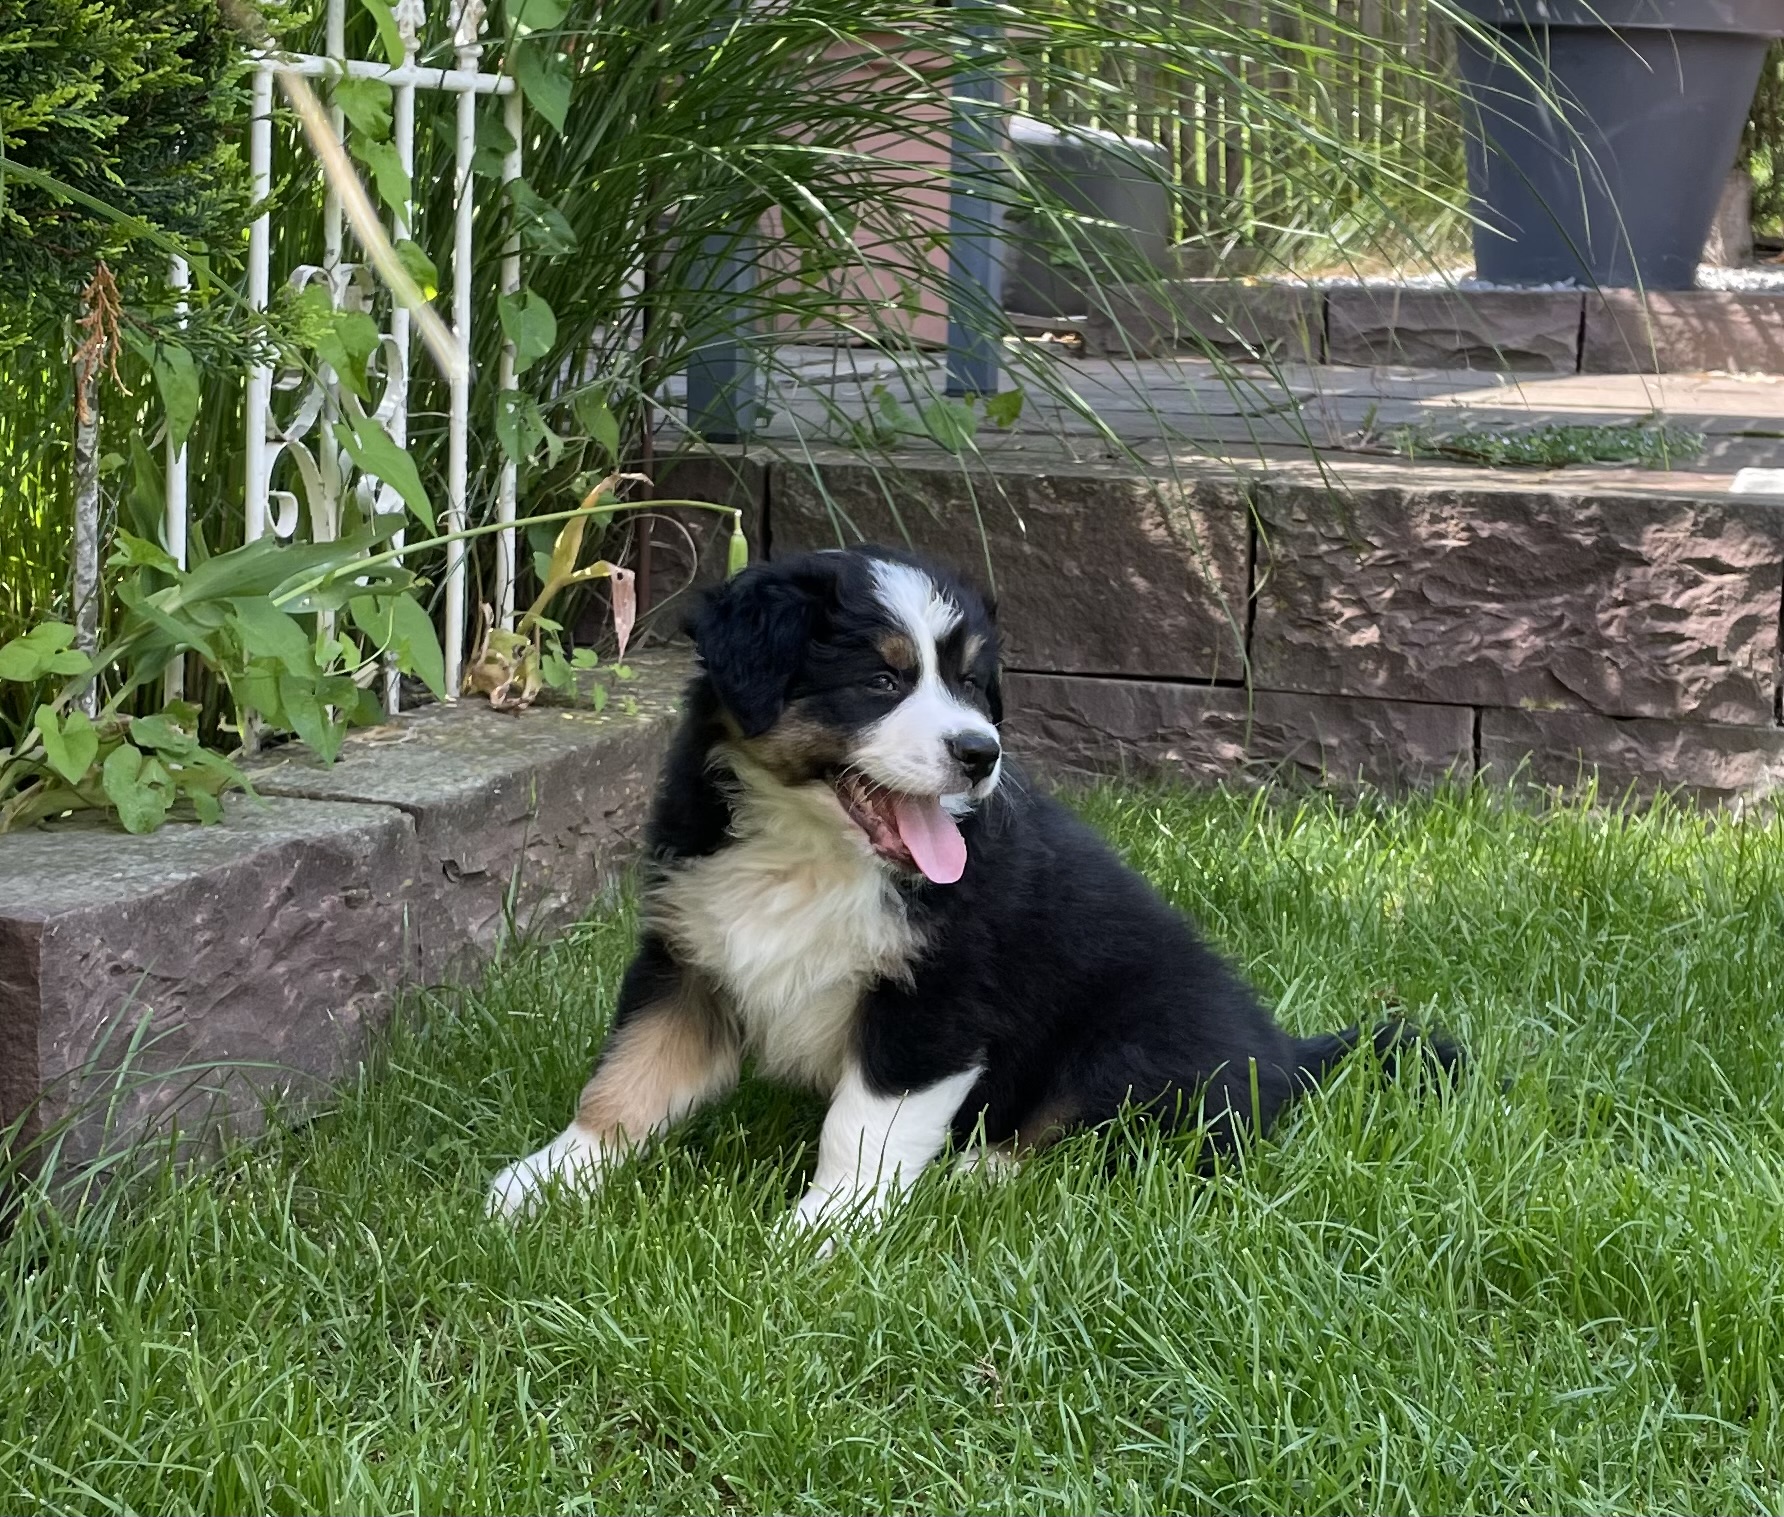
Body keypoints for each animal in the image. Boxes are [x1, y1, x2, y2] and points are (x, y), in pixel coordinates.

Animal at [488, 545, 1458, 1229]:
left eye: (968, 683)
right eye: (881, 678)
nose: (979, 752)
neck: (811, 854)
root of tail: (1287, 1053)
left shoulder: (940, 997)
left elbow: (863, 1127)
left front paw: (823, 1231)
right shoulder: (691, 955)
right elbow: (623, 1083)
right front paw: (540, 1182)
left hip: (1138, 1044)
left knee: (1096, 1142)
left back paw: (969, 1178)